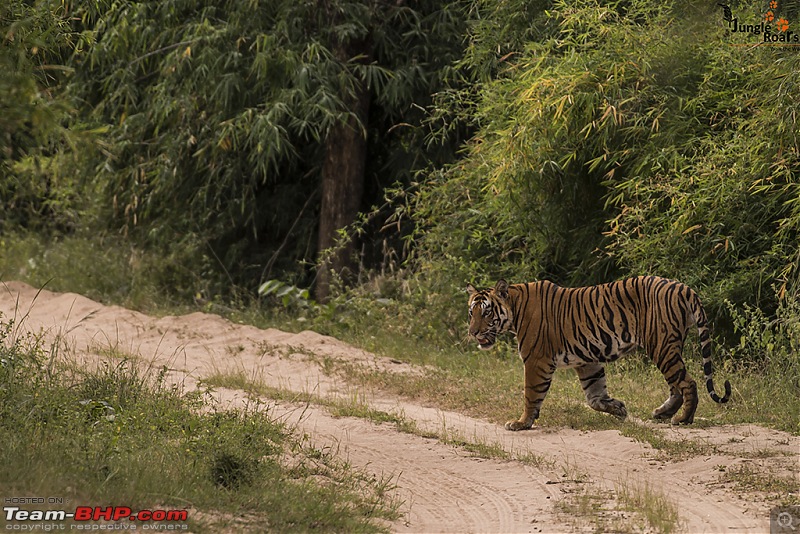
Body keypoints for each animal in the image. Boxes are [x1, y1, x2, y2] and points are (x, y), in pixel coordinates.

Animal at [466, 276, 736, 432]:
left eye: (487, 312)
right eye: (471, 312)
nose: (472, 332)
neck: (514, 308)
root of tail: (683, 287)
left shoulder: (536, 361)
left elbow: (531, 395)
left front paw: (521, 423)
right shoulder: (588, 362)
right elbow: (594, 397)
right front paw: (618, 408)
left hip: (661, 345)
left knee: (687, 383)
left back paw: (682, 419)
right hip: (669, 347)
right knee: (676, 385)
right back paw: (663, 413)